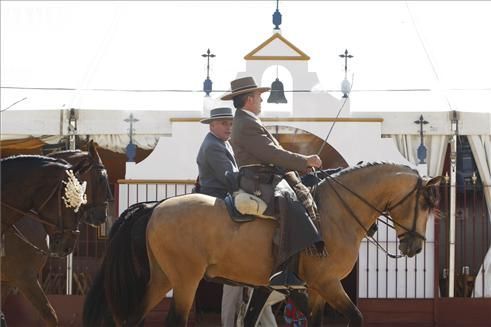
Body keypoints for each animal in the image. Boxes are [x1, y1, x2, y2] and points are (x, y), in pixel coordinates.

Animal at [83, 163, 442, 326]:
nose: (414, 247)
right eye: (424, 204)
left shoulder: (314, 289)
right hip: (185, 281)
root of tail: (155, 206)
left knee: (132, 319)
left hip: (161, 279)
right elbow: (355, 316)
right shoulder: (327, 283)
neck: (334, 211)